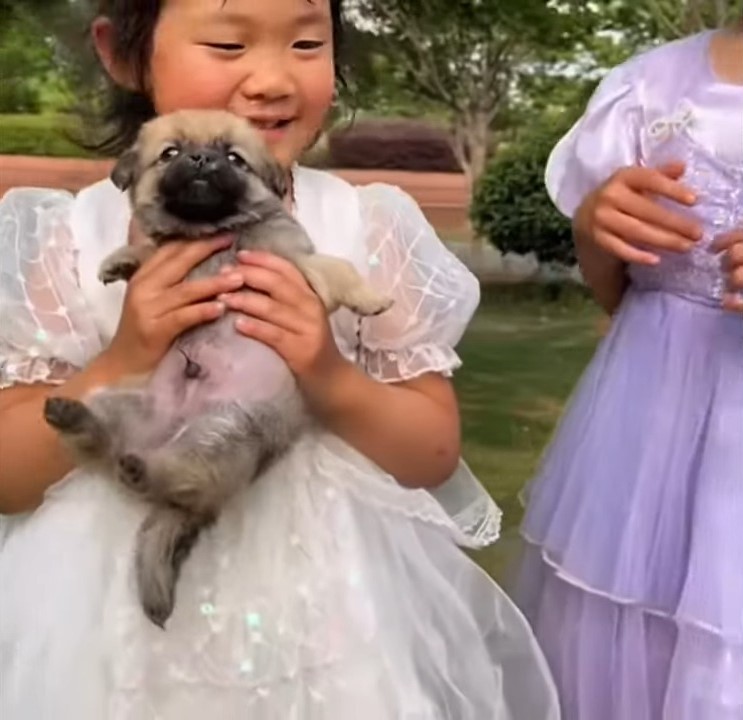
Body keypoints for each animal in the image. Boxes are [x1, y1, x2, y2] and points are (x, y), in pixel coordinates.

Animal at [41, 109, 392, 628]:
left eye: (234, 158)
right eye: (170, 154)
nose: (202, 159)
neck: (212, 235)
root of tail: (158, 439)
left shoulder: (298, 269)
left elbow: (340, 268)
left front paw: (372, 299)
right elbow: (152, 252)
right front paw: (123, 259)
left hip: (223, 435)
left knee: (179, 477)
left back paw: (143, 467)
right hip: (119, 403)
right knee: (101, 442)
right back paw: (76, 419)